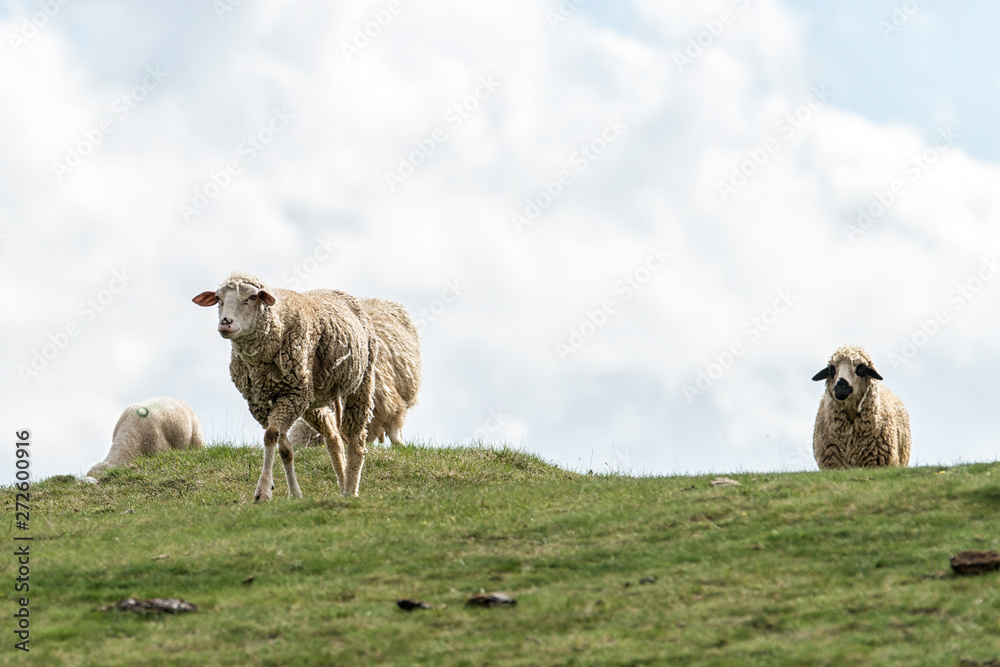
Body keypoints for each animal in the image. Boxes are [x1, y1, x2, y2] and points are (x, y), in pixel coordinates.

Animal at [193, 271, 377, 500]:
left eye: (252, 297)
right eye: (219, 298)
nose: (225, 323)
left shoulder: (291, 396)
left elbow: (271, 436)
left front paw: (263, 491)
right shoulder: (261, 403)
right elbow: (284, 447)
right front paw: (294, 494)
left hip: (359, 382)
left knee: (356, 438)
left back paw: (351, 489)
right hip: (311, 398)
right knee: (333, 436)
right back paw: (342, 484)